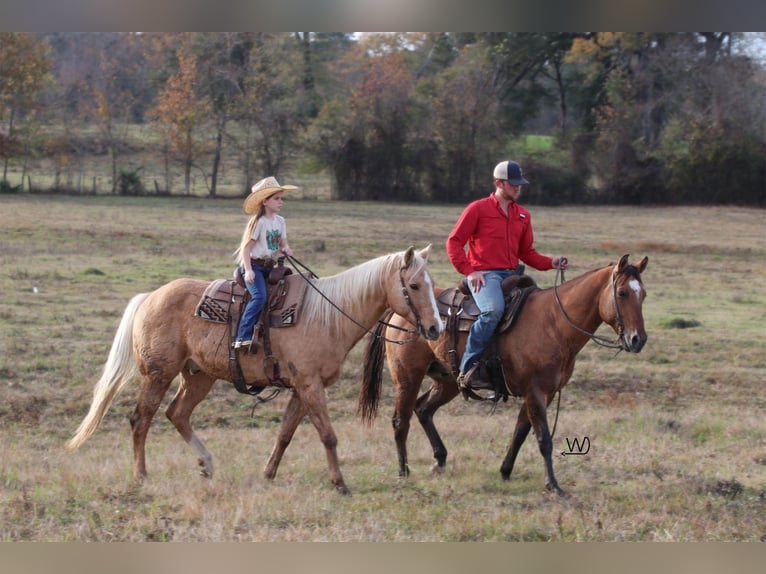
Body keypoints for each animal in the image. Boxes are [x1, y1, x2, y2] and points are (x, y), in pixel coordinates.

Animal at [70, 246, 450, 496]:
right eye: (414, 285)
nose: (435, 328)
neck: (328, 316)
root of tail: (150, 297)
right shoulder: (311, 386)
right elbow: (328, 435)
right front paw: (340, 483)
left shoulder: (301, 388)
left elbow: (285, 434)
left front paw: (268, 474)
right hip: (158, 374)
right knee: (141, 419)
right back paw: (141, 475)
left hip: (199, 376)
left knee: (177, 414)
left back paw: (206, 464)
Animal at [360, 254, 648, 498]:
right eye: (622, 293)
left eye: (643, 294)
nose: (638, 340)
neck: (554, 323)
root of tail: (399, 310)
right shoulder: (535, 392)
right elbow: (543, 438)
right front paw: (553, 485)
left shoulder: (544, 393)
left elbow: (520, 432)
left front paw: (505, 471)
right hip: (407, 378)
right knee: (401, 420)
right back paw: (403, 471)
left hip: (448, 380)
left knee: (424, 409)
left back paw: (439, 460)